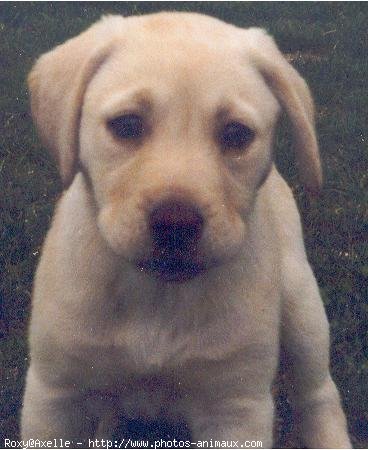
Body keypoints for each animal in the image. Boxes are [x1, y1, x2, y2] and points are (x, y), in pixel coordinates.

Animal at [22, 12, 350, 448]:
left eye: (236, 134)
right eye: (127, 125)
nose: (175, 225)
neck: (157, 295)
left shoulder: (235, 408)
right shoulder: (54, 394)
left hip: (302, 306)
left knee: (318, 393)